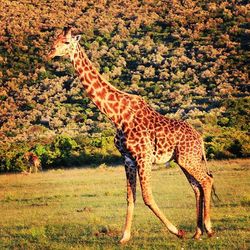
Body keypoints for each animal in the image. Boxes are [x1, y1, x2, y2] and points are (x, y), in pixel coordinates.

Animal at [47, 28, 214, 243]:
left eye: (66, 42)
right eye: (54, 39)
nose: (50, 52)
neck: (116, 115)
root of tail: (199, 139)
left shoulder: (143, 156)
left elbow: (147, 197)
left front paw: (177, 231)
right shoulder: (128, 159)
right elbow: (130, 197)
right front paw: (124, 237)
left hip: (188, 158)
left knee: (206, 181)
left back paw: (208, 228)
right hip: (184, 159)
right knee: (197, 186)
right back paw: (198, 231)